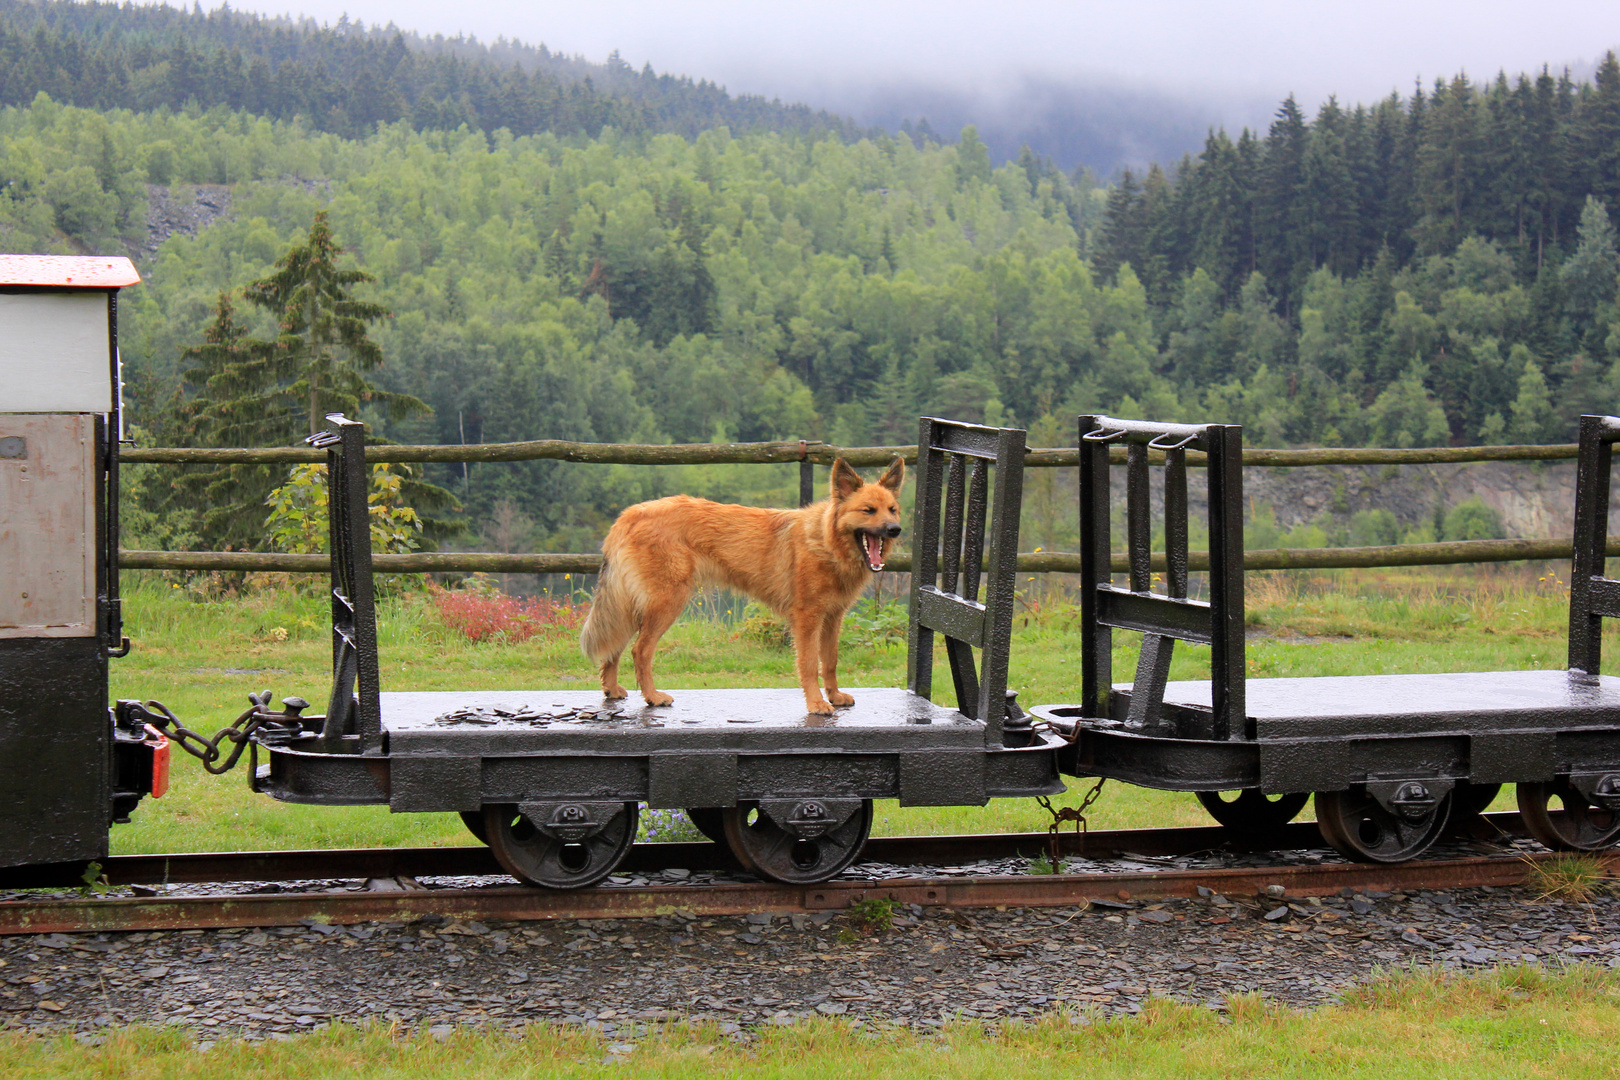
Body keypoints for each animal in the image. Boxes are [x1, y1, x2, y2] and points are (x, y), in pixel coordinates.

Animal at [583, 459, 913, 718]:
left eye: (892, 509)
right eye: (868, 510)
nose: (895, 529)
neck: (826, 541)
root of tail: (629, 514)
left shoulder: (833, 618)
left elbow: (829, 661)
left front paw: (834, 695)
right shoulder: (807, 620)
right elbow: (809, 664)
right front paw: (817, 703)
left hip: (632, 605)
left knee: (615, 645)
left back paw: (611, 689)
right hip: (666, 603)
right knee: (640, 650)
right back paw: (652, 697)